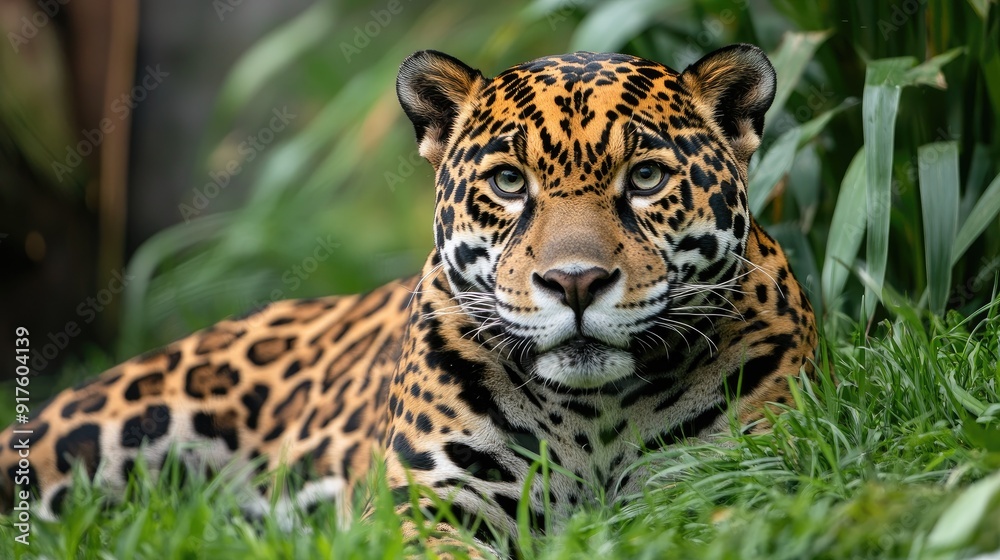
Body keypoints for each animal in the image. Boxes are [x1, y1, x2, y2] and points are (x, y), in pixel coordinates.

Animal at [1, 44, 817, 554]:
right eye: (509, 182)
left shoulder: (745, 481)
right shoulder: (428, 505)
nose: (576, 282)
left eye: (646, 178)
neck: (594, 415)